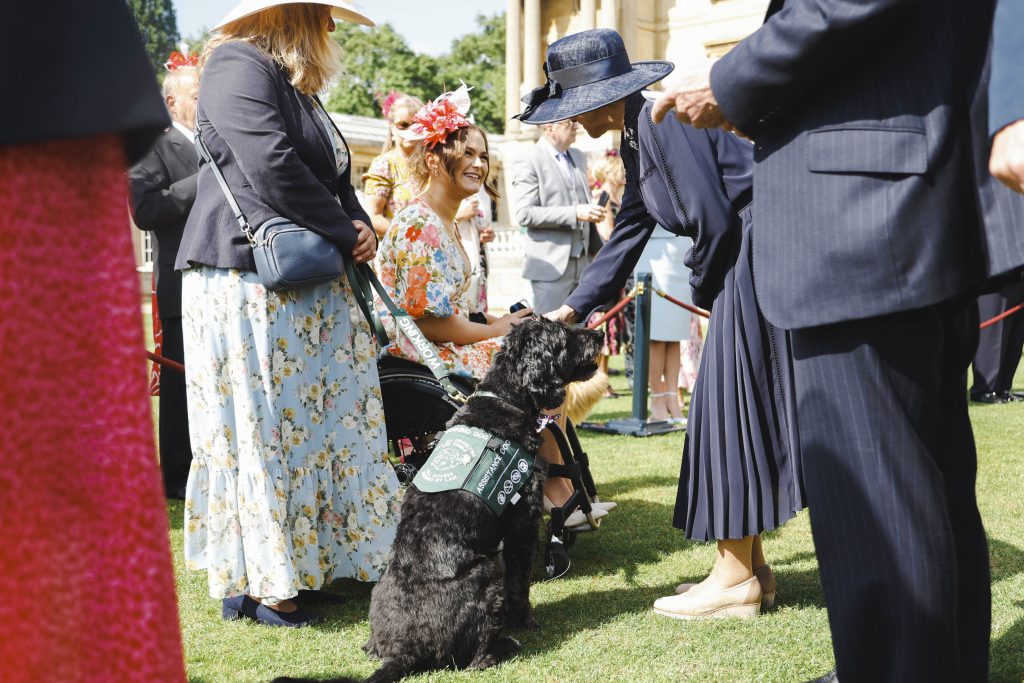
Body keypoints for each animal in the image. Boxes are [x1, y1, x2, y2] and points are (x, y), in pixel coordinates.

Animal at [276, 317, 602, 683]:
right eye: (565, 335)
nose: (599, 334)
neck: (505, 400)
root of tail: (404, 647)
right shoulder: (523, 523)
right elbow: (520, 584)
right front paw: (526, 621)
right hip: (487, 571)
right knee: (474, 657)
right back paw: (502, 647)